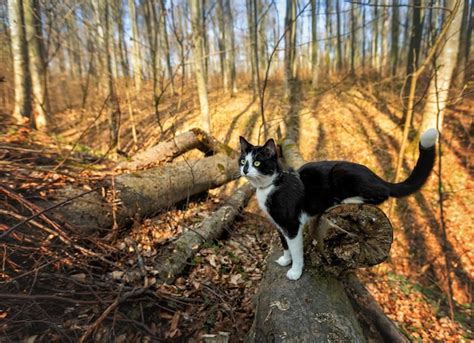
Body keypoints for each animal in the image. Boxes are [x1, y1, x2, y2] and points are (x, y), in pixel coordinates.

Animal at [239, 127, 438, 280]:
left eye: (257, 162)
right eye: (242, 161)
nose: (245, 169)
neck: (271, 185)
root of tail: (377, 178)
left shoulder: (292, 223)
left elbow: (295, 249)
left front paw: (295, 271)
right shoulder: (279, 224)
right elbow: (285, 244)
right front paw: (285, 260)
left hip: (341, 171)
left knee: (380, 194)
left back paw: (348, 199)